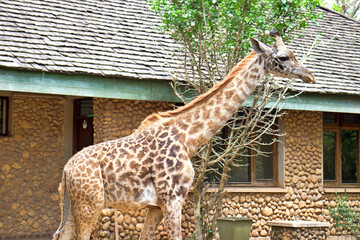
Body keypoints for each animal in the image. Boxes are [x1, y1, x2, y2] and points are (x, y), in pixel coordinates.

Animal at [53, 30, 316, 240]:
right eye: (283, 57)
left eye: (293, 53)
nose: (310, 76)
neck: (189, 138)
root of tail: (66, 171)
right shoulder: (172, 199)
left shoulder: (157, 205)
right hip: (90, 203)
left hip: (75, 205)